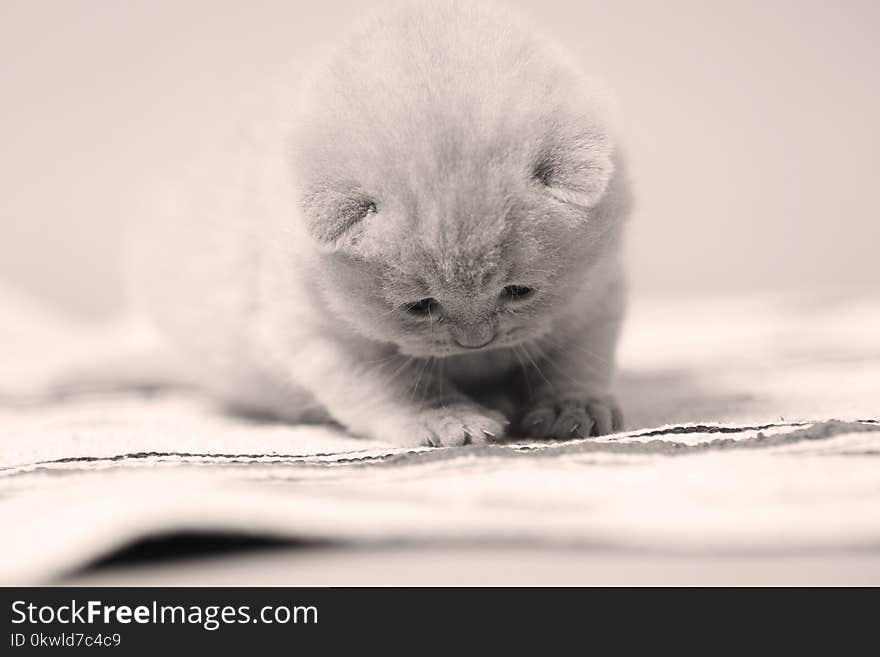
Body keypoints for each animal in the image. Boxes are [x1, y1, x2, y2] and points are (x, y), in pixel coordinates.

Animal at [129, 1, 632, 446]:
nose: (474, 341)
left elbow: (573, 361)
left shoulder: (596, 296)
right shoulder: (318, 333)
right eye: (420, 307)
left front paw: (573, 407)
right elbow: (404, 386)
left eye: (520, 292)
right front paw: (450, 420)